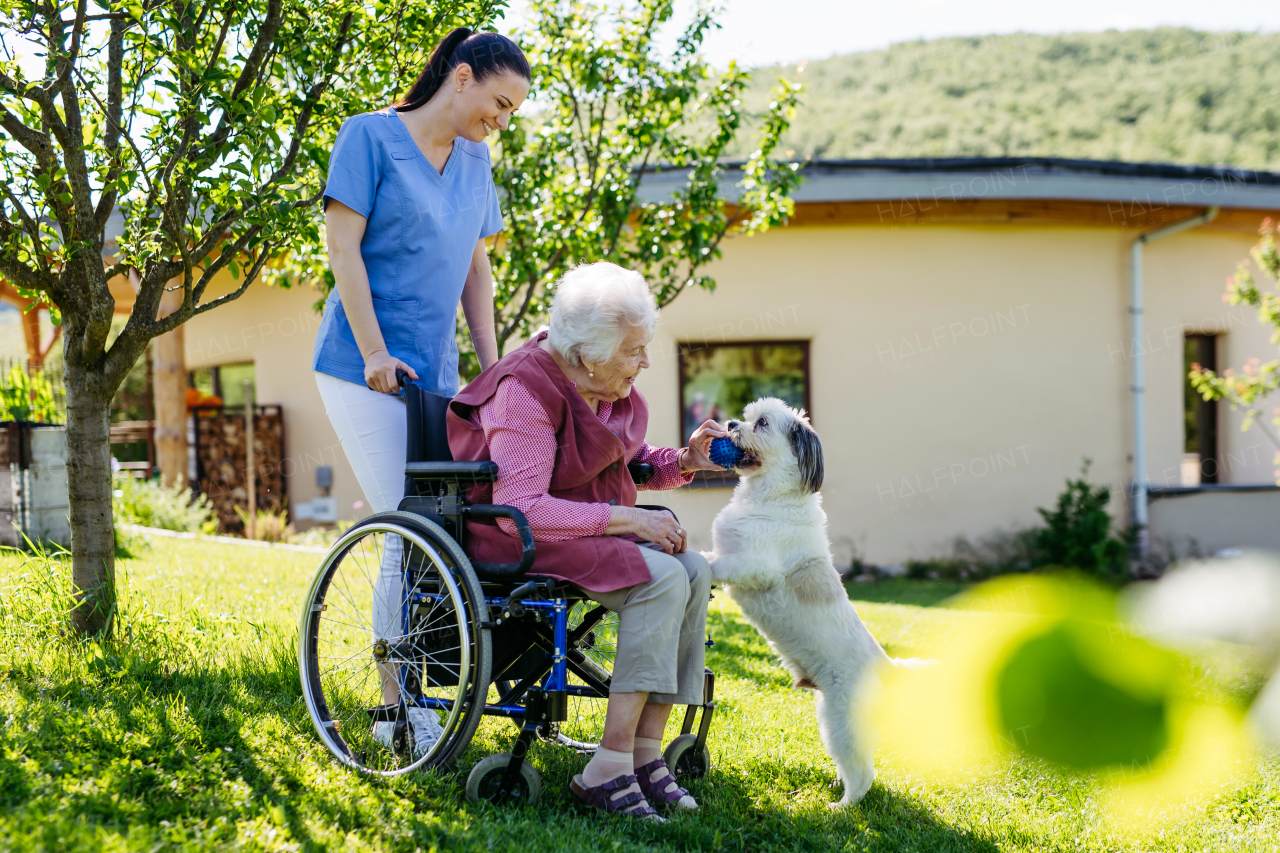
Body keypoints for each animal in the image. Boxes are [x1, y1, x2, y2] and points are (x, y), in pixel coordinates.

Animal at [711, 397, 921, 804]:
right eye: (745, 416)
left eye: (761, 423)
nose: (729, 424)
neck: (770, 496)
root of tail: (886, 666)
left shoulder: (753, 565)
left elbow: (716, 564)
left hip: (844, 724)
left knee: (863, 774)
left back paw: (842, 806)